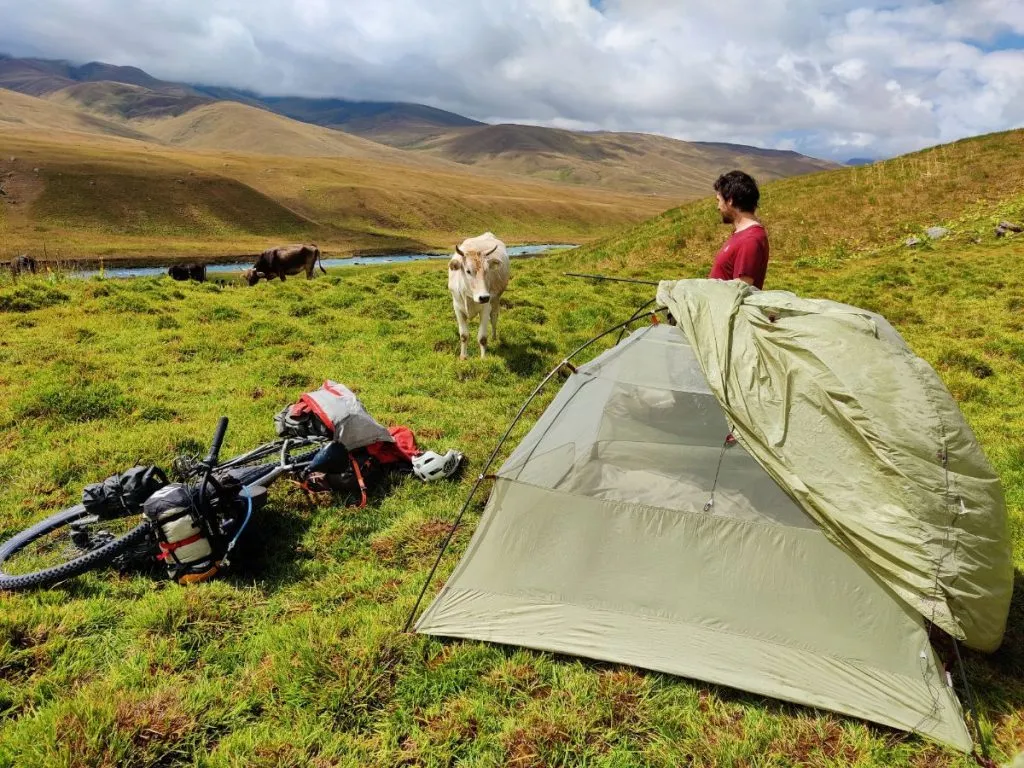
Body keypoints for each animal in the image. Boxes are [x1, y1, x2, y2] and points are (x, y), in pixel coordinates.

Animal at [448, 231, 512, 360]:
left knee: (494, 318)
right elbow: (464, 335)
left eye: (487, 271)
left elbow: (482, 338)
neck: (469, 296)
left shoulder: (486, 307)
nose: (483, 297)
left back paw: (494, 337)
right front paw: (463, 357)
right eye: (468, 271)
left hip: (495, 300)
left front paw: (483, 358)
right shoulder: (457, 308)